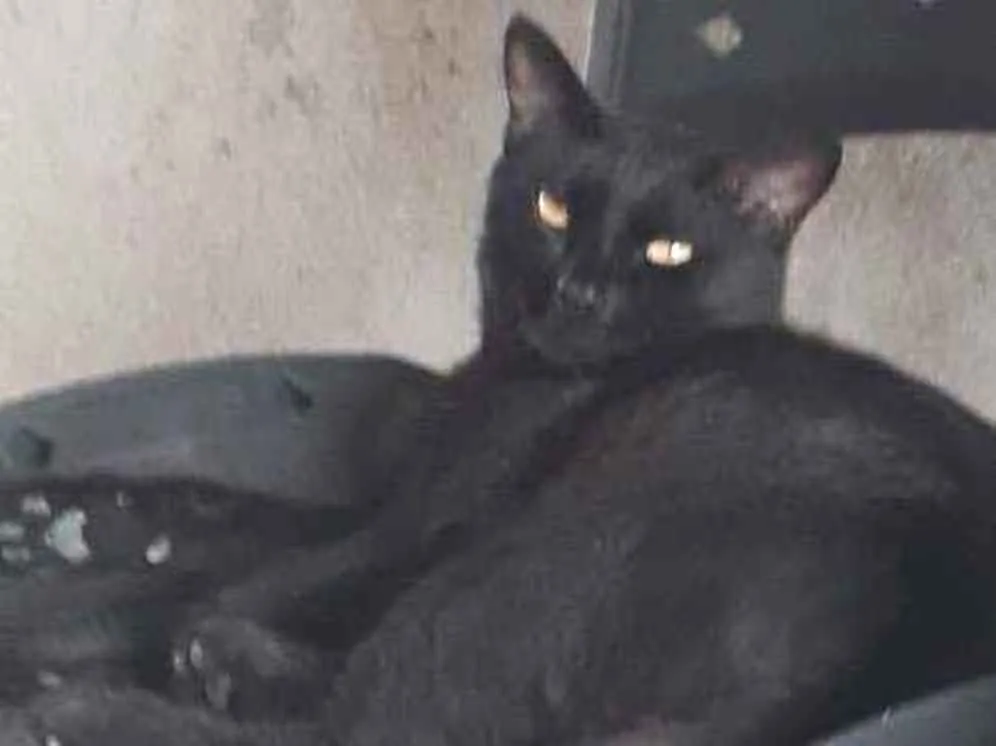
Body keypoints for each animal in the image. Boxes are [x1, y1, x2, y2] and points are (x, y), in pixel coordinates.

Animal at [6, 12, 996, 746]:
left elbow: (201, 574)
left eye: (669, 251)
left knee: (368, 726)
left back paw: (87, 707)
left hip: (541, 555)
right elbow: (217, 505)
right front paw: (74, 515)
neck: (508, 381)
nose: (580, 290)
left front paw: (64, 599)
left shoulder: (414, 527)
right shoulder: (392, 501)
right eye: (553, 207)